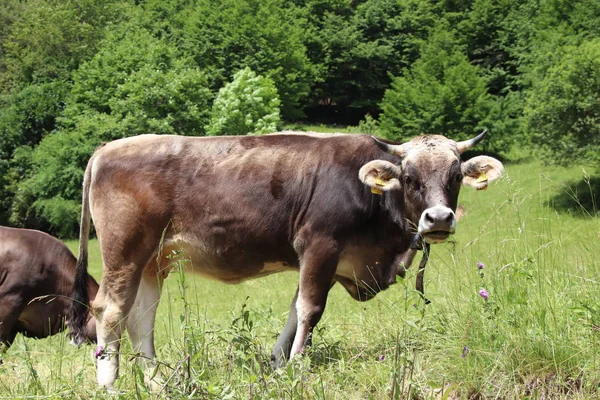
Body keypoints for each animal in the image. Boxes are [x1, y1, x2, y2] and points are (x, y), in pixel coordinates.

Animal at [68, 130, 504, 388]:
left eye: (454, 177)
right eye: (410, 178)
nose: (439, 218)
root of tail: (108, 148)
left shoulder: (323, 256)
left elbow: (296, 309)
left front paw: (279, 362)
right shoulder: (320, 244)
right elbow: (311, 309)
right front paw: (297, 367)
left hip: (155, 259)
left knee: (141, 319)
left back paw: (157, 381)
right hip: (124, 253)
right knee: (110, 311)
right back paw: (109, 384)